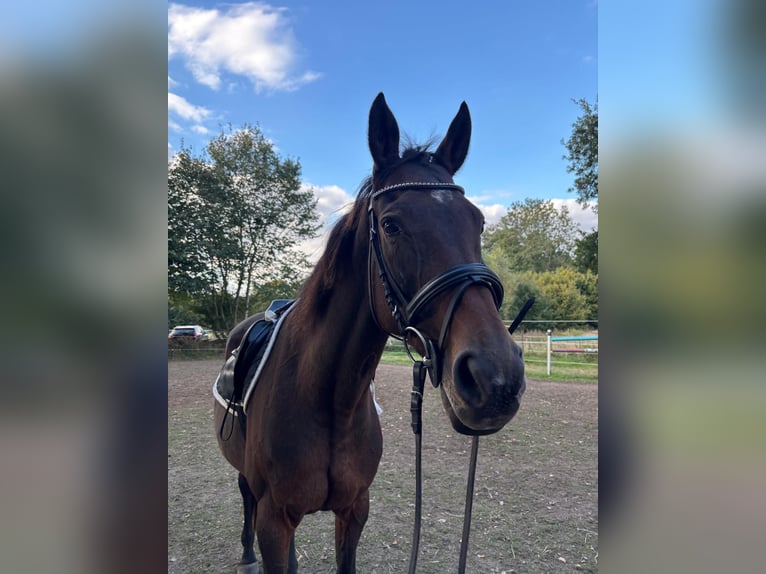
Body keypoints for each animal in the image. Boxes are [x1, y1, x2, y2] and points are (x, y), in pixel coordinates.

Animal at [214, 92, 526, 574]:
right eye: (392, 225)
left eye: (478, 223)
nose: (496, 378)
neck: (326, 399)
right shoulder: (273, 520)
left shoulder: (354, 509)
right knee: (244, 495)